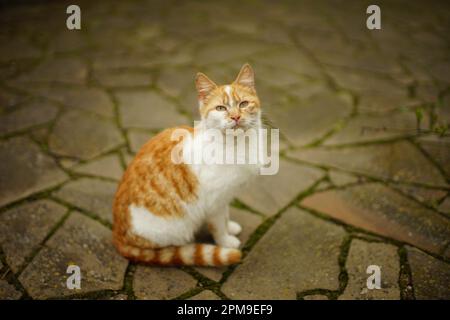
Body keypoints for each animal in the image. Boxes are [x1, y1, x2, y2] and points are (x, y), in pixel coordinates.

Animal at [112, 63, 262, 266]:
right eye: (221, 108)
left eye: (243, 104)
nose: (235, 117)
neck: (237, 144)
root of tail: (117, 235)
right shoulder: (214, 200)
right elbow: (218, 224)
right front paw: (226, 241)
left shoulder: (225, 196)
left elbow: (226, 215)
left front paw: (230, 227)